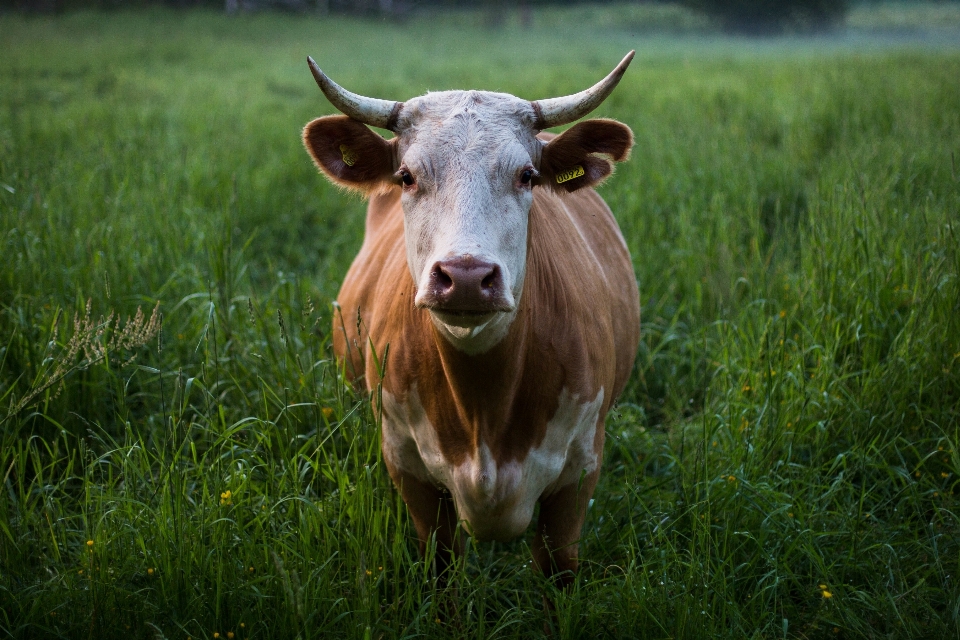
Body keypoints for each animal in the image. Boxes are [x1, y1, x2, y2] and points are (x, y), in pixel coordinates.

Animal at [304, 52, 640, 592]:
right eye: (406, 176)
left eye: (527, 175)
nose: (465, 277)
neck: (485, 407)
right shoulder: (409, 469)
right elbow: (441, 569)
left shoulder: (579, 473)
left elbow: (558, 571)